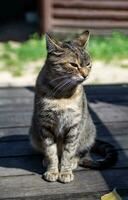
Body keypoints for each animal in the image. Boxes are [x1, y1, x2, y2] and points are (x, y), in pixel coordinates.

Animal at [29, 30, 117, 183]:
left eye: (88, 64)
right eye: (73, 65)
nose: (86, 75)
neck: (61, 94)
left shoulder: (74, 126)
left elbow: (68, 152)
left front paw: (65, 171)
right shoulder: (45, 126)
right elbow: (51, 152)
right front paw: (52, 170)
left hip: (88, 132)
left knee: (82, 152)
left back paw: (74, 161)